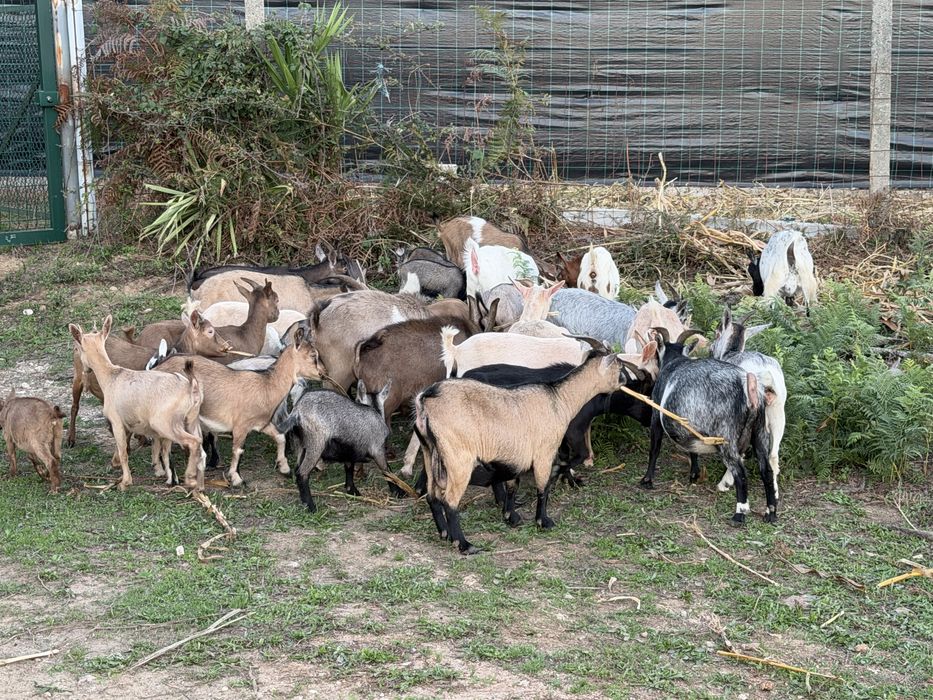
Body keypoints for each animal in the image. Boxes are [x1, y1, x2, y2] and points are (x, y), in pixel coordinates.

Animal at [69, 316, 206, 490]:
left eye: (80, 349)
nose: (85, 369)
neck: (112, 377)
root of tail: (190, 388)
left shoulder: (117, 421)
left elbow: (123, 451)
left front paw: (125, 481)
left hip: (166, 423)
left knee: (193, 442)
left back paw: (189, 478)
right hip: (191, 419)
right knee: (200, 446)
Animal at [153, 328, 325, 487]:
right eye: (313, 355)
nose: (322, 374)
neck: (266, 386)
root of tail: (158, 368)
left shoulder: (261, 423)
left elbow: (280, 437)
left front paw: (284, 468)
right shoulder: (240, 426)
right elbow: (238, 450)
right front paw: (236, 479)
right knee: (165, 446)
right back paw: (172, 479)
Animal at [413, 352, 632, 554]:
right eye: (620, 367)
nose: (626, 381)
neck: (560, 399)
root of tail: (426, 401)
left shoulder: (516, 455)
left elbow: (513, 485)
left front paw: (511, 517)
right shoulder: (544, 452)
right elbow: (543, 488)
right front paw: (543, 521)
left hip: (429, 452)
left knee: (432, 496)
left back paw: (444, 533)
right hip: (458, 458)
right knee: (450, 501)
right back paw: (464, 544)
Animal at [639, 329, 777, 526]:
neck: (675, 361)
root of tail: (748, 386)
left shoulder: (656, 415)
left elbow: (654, 449)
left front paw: (647, 480)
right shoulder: (689, 426)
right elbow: (693, 451)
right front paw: (694, 475)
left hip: (726, 439)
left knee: (741, 474)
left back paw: (739, 514)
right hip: (760, 433)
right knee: (766, 471)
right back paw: (770, 512)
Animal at [710, 307, 785, 499]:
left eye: (717, 332)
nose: (710, 349)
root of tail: (765, 372)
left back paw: (724, 482)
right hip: (777, 412)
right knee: (773, 455)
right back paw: (774, 492)